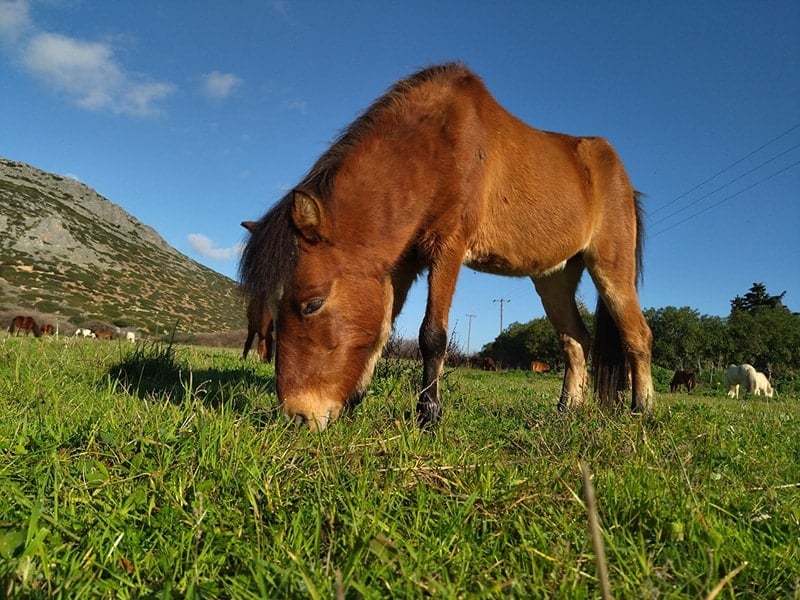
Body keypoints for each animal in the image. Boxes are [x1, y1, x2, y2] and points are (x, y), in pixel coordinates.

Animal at [240, 63, 654, 430]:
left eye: (312, 304)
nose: (298, 415)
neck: (436, 146)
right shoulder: (400, 265)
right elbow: (381, 331)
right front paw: (356, 402)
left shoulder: (448, 250)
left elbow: (432, 336)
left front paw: (428, 415)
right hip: (554, 278)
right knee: (575, 341)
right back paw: (567, 410)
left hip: (610, 268)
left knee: (637, 336)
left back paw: (642, 410)